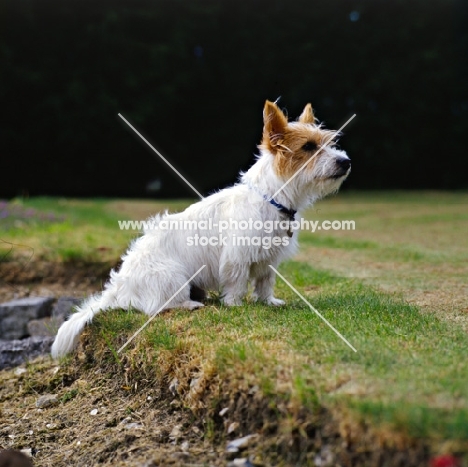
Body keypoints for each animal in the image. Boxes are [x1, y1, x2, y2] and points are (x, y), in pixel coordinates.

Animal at [52, 100, 352, 358]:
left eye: (331, 143)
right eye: (309, 147)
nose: (345, 161)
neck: (272, 198)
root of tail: (119, 288)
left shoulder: (269, 259)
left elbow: (265, 282)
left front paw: (268, 302)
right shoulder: (236, 257)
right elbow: (237, 283)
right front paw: (235, 305)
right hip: (172, 276)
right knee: (158, 306)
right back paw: (191, 304)